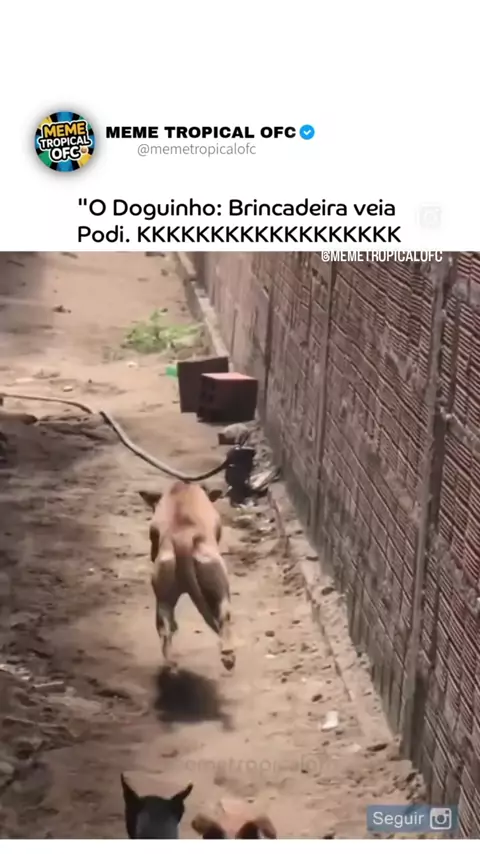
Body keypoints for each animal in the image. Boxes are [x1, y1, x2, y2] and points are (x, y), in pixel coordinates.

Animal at [139, 481, 235, 671]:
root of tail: (183, 538)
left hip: (163, 592)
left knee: (165, 629)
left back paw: (171, 664)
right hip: (219, 582)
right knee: (224, 615)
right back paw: (228, 655)